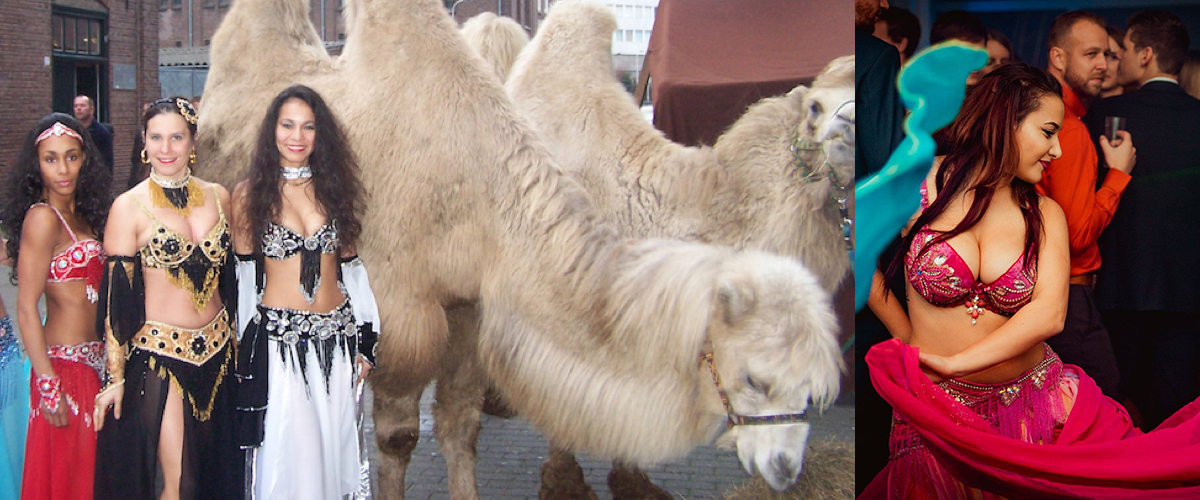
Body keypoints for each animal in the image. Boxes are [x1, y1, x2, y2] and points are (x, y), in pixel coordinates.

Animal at [196, 0, 840, 494]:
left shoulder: (469, 309)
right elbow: (399, 439)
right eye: (755, 378)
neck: (477, 191)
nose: (785, 468)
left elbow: (460, 427)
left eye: (814, 387)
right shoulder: (403, 316)